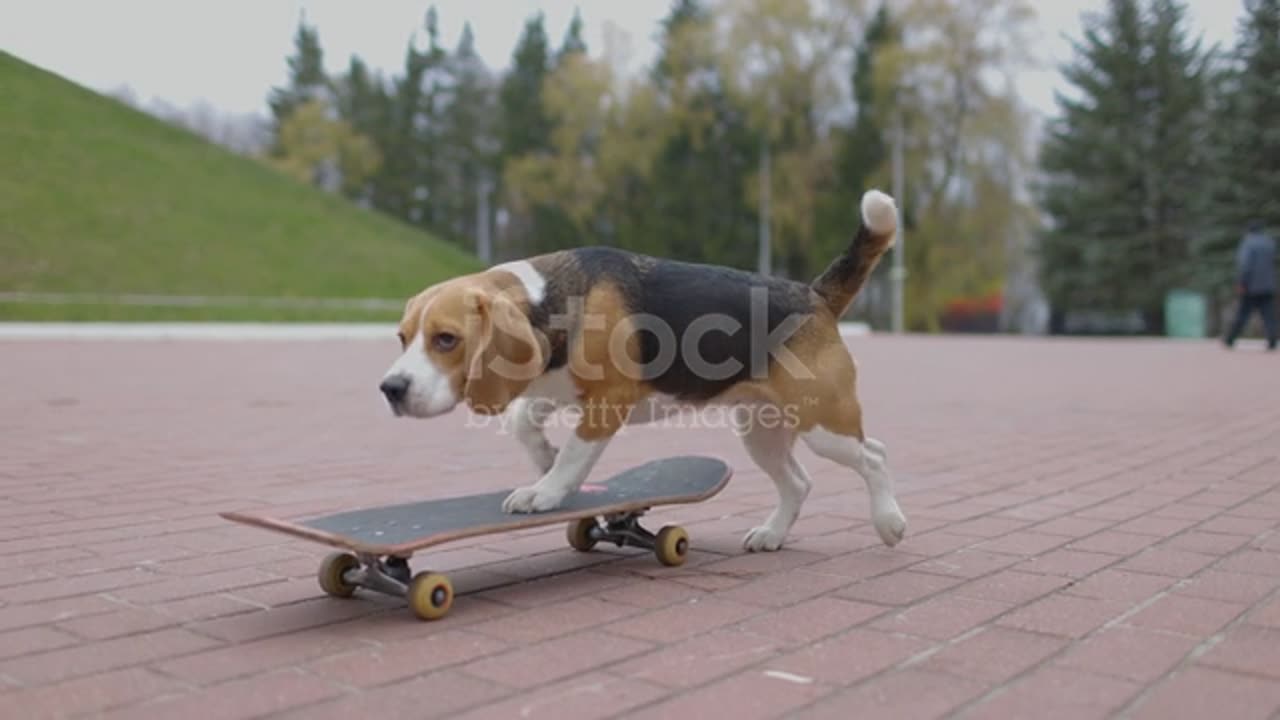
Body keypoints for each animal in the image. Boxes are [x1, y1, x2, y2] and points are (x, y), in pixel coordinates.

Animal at [373, 188, 906, 545]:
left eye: (446, 339)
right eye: (402, 337)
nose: (391, 389)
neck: (553, 296)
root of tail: (813, 295)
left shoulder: (609, 401)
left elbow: (574, 454)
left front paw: (547, 491)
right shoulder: (553, 384)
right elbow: (523, 422)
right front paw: (543, 459)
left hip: (822, 423)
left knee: (875, 455)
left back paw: (889, 521)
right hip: (763, 431)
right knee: (802, 481)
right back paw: (772, 534)